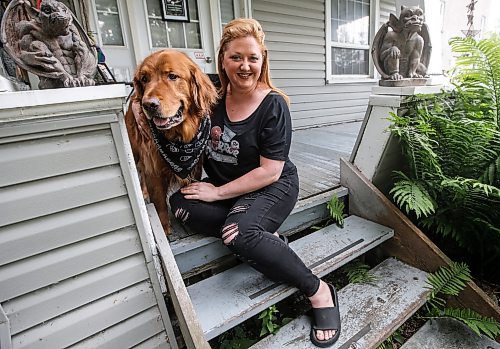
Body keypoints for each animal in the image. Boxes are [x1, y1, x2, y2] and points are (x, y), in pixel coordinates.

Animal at [124, 49, 217, 234]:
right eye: (144, 79)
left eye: (172, 76)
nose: (148, 105)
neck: (178, 138)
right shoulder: (153, 167)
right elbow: (159, 201)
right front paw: (165, 227)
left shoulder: (194, 165)